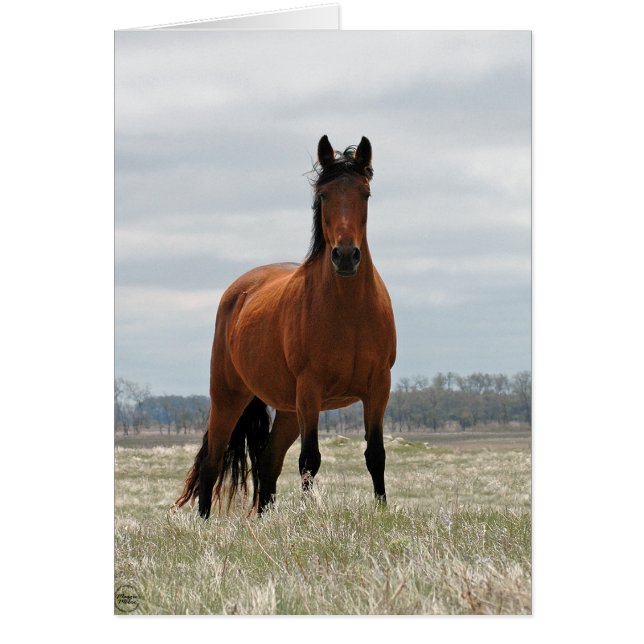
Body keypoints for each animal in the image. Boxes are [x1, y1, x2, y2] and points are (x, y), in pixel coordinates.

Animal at [175, 135, 396, 518]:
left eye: (365, 193)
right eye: (324, 195)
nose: (345, 256)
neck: (350, 311)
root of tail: (240, 291)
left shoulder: (378, 388)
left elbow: (375, 456)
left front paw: (381, 512)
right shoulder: (311, 389)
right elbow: (310, 460)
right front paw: (308, 520)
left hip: (289, 410)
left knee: (268, 462)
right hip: (229, 397)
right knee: (212, 461)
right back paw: (203, 523)